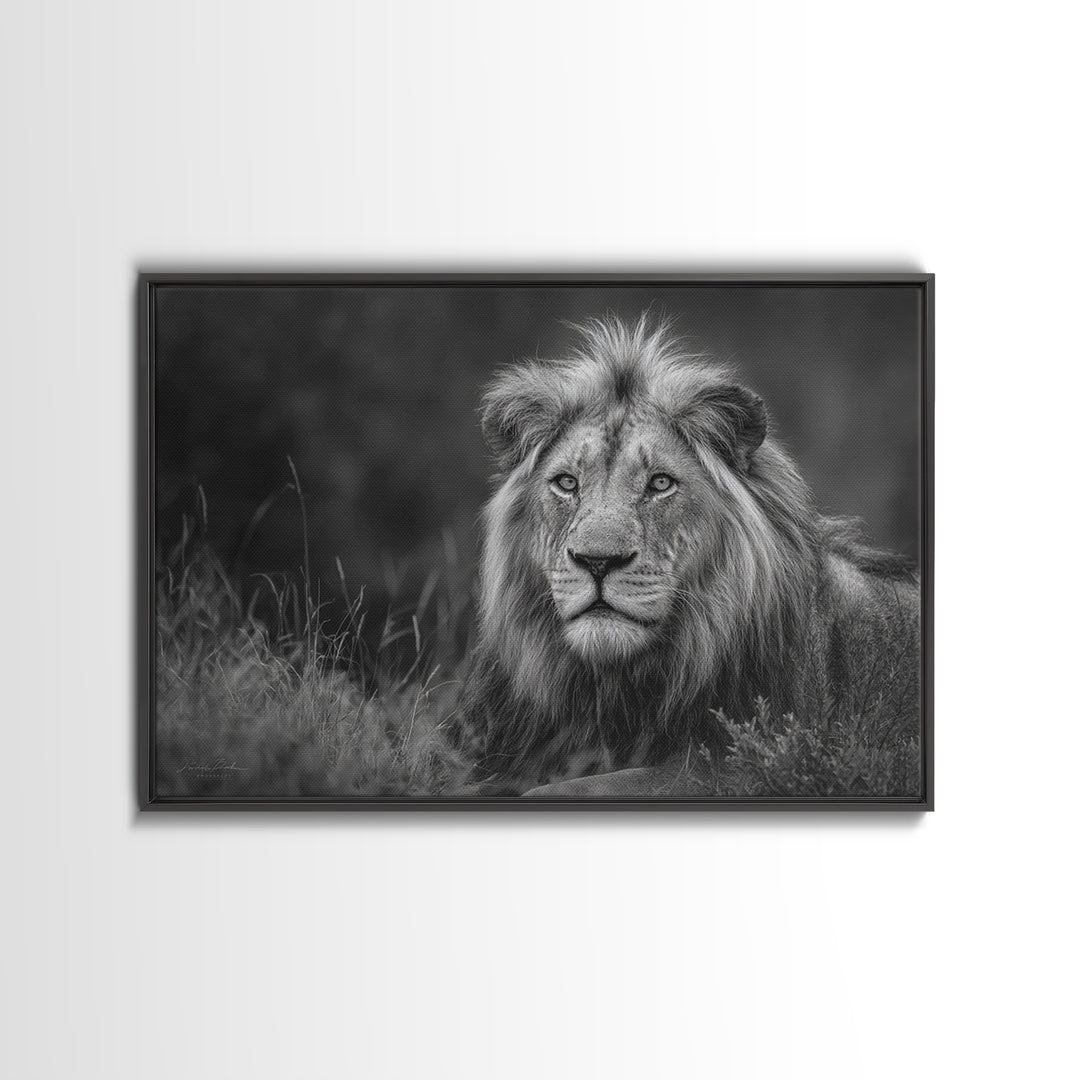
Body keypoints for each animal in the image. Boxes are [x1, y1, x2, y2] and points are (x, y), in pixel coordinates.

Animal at [459, 315, 920, 797]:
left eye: (660, 483)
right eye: (567, 483)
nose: (598, 561)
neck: (613, 689)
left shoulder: (739, 766)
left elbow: (572, 788)